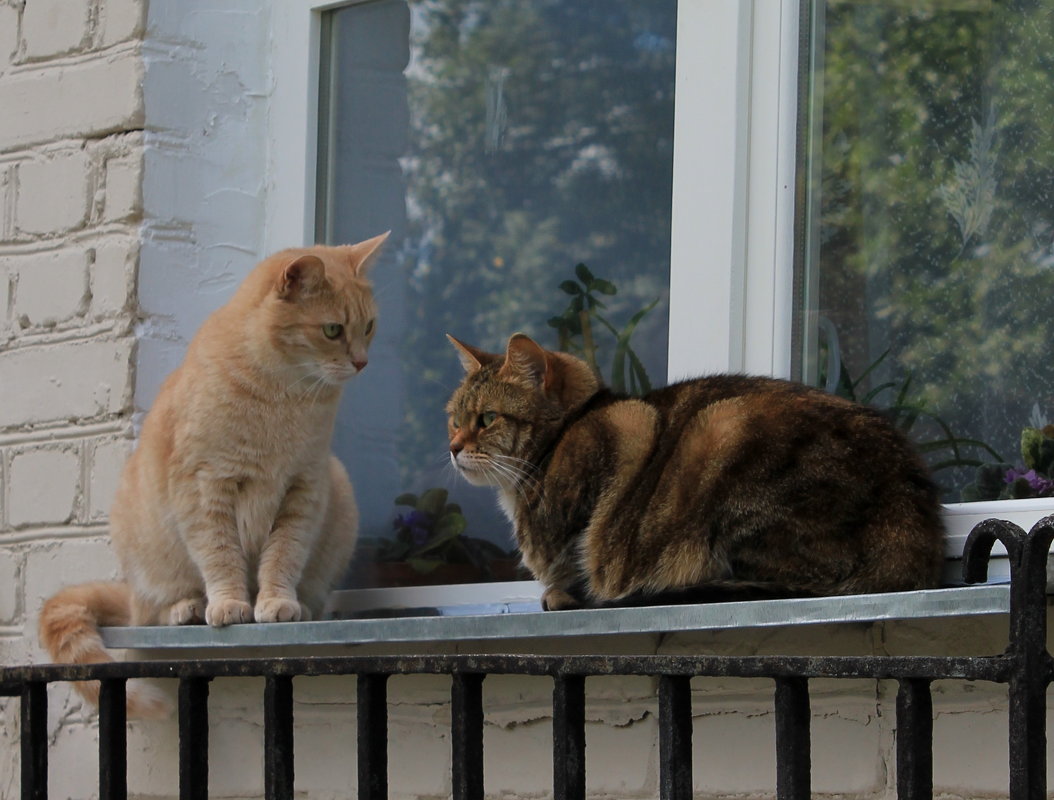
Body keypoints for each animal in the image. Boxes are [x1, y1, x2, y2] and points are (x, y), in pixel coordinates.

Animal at [40, 235, 392, 716]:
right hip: (148, 567)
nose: (362, 362)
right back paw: (186, 608)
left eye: (369, 326)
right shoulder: (205, 488)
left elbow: (283, 555)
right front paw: (229, 605)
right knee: (152, 611)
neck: (285, 397)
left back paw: (301, 605)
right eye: (333, 330)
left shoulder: (303, 489)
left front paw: (277, 601)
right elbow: (220, 555)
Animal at [444, 335, 948, 611]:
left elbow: (579, 552)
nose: (452, 448)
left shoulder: (623, 435)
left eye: (486, 419)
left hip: (722, 430)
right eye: (454, 419)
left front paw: (565, 589)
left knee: (788, 584)